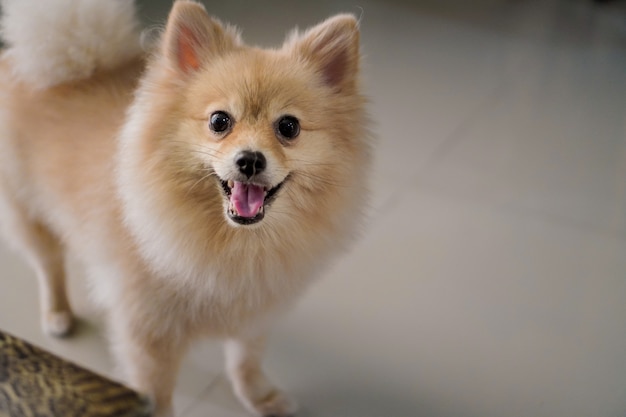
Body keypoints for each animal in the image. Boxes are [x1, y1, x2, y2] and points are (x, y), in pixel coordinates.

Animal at [0, 1, 370, 414]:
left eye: (288, 127)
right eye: (219, 121)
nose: (250, 160)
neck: (235, 243)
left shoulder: (256, 310)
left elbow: (246, 358)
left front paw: (259, 396)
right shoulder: (149, 334)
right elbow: (158, 393)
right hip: (26, 210)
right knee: (49, 265)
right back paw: (58, 312)